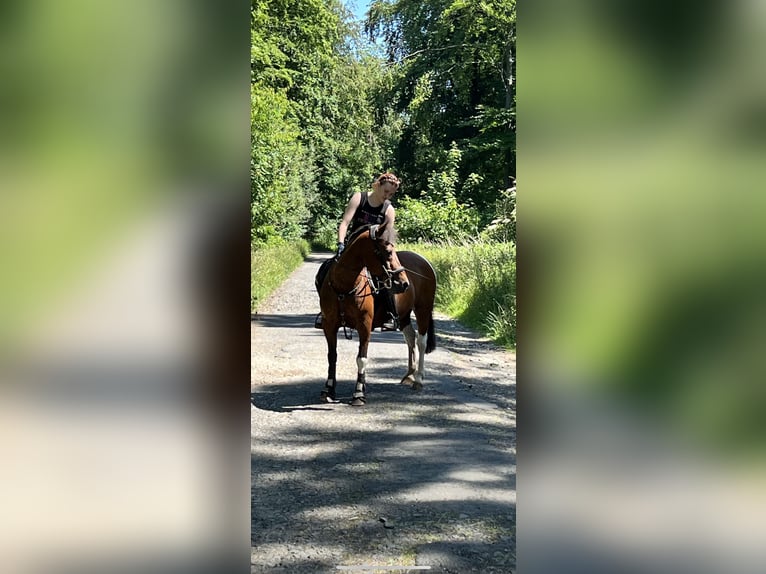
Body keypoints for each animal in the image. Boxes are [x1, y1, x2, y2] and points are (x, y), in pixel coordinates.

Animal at [318, 223, 438, 408]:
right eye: (388, 252)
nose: (404, 283)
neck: (344, 287)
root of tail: (424, 262)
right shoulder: (328, 325)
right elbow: (332, 356)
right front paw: (329, 390)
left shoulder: (364, 325)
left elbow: (362, 359)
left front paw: (359, 393)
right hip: (403, 315)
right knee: (410, 338)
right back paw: (409, 374)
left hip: (423, 309)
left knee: (421, 341)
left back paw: (418, 379)